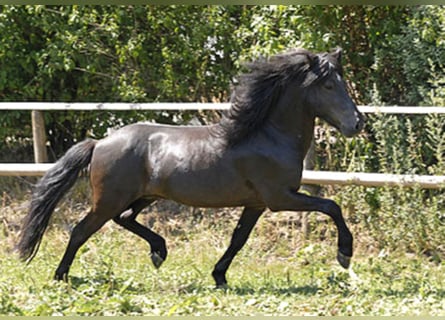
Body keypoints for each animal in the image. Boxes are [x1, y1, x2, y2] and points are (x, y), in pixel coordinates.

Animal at [18, 48, 364, 288]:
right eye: (329, 85)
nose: (357, 123)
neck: (267, 135)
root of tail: (101, 142)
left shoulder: (256, 203)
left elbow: (238, 239)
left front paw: (219, 277)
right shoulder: (281, 198)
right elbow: (331, 206)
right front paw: (345, 254)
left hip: (143, 196)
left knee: (125, 218)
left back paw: (159, 252)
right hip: (108, 200)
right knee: (80, 231)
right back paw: (61, 277)